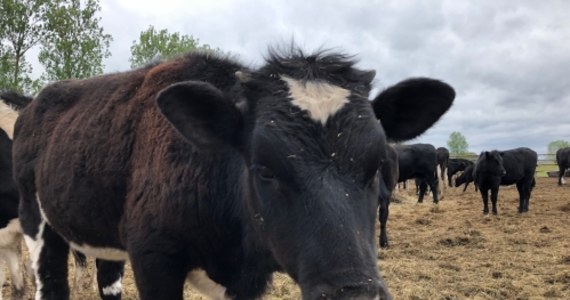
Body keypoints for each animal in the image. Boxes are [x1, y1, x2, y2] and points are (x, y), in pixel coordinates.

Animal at [12, 48, 452, 298]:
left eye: (377, 165)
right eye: (263, 168)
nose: (354, 294)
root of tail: (36, 100)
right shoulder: (154, 258)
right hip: (36, 220)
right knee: (50, 283)